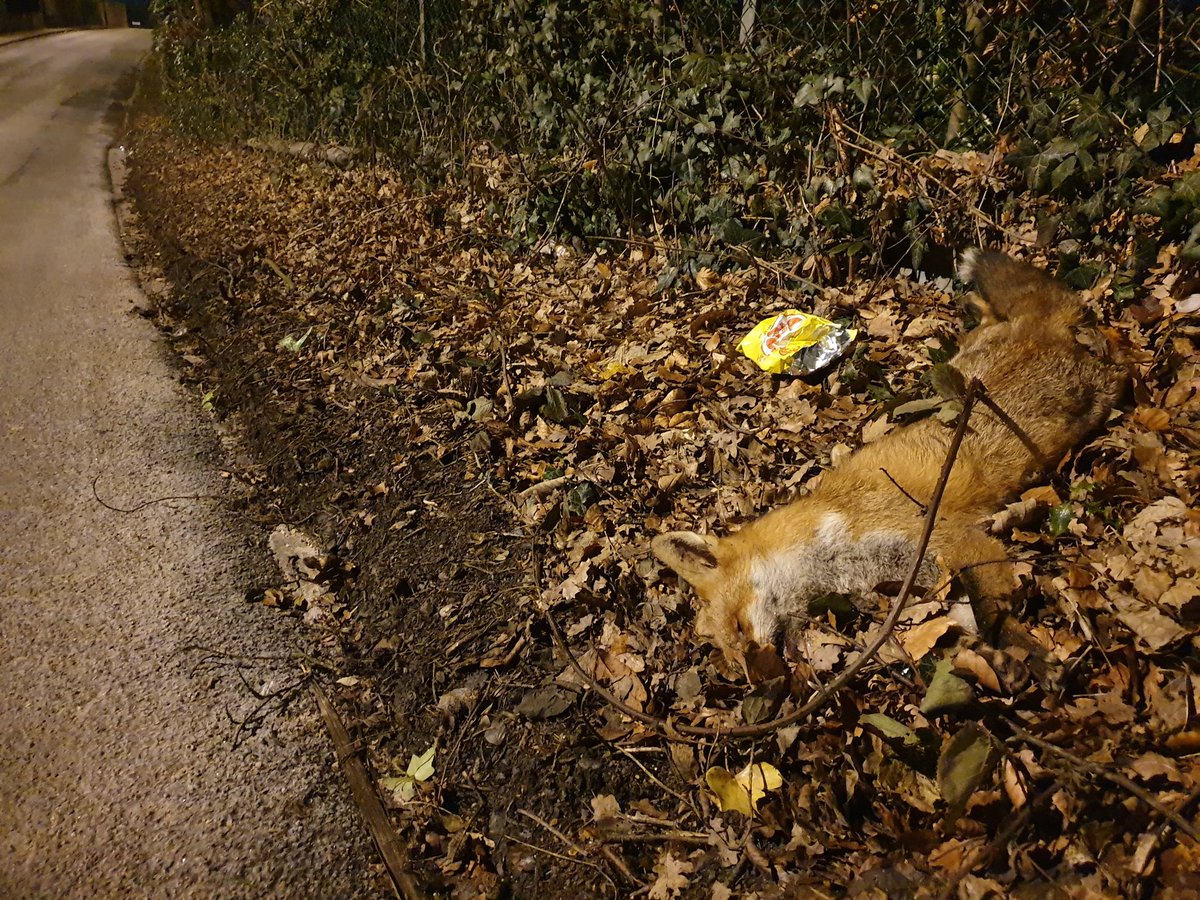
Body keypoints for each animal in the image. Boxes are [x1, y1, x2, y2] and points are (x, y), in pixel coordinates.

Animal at [653, 249, 1127, 673]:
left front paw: (1027, 657)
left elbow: (993, 613)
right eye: (730, 658)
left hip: (1100, 391)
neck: (825, 542)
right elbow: (966, 615)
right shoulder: (923, 568)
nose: (758, 678)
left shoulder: (949, 538)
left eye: (737, 629)